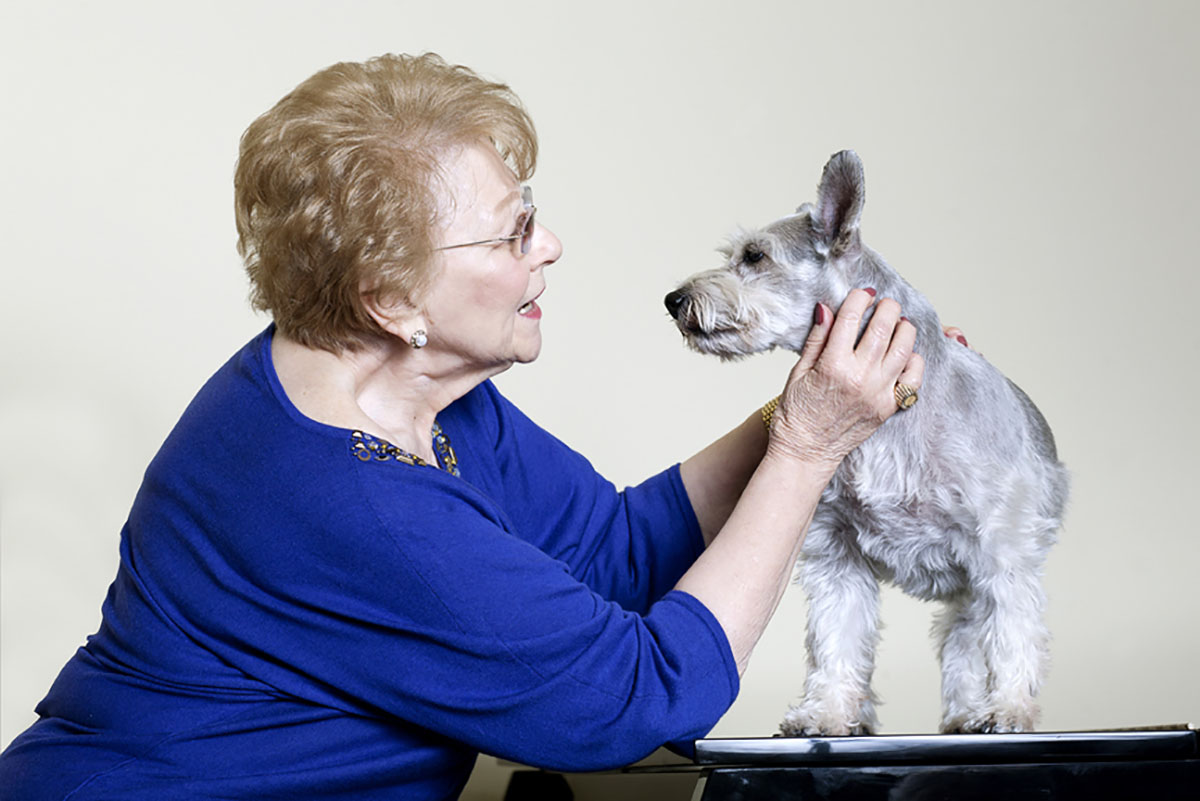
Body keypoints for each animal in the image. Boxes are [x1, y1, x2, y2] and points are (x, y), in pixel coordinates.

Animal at [667, 151, 1070, 738]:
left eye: (755, 255)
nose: (673, 300)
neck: (897, 423)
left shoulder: (1001, 553)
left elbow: (1012, 633)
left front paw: (1010, 709)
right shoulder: (837, 556)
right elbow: (837, 641)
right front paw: (828, 713)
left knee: (970, 635)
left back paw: (976, 711)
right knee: (959, 639)